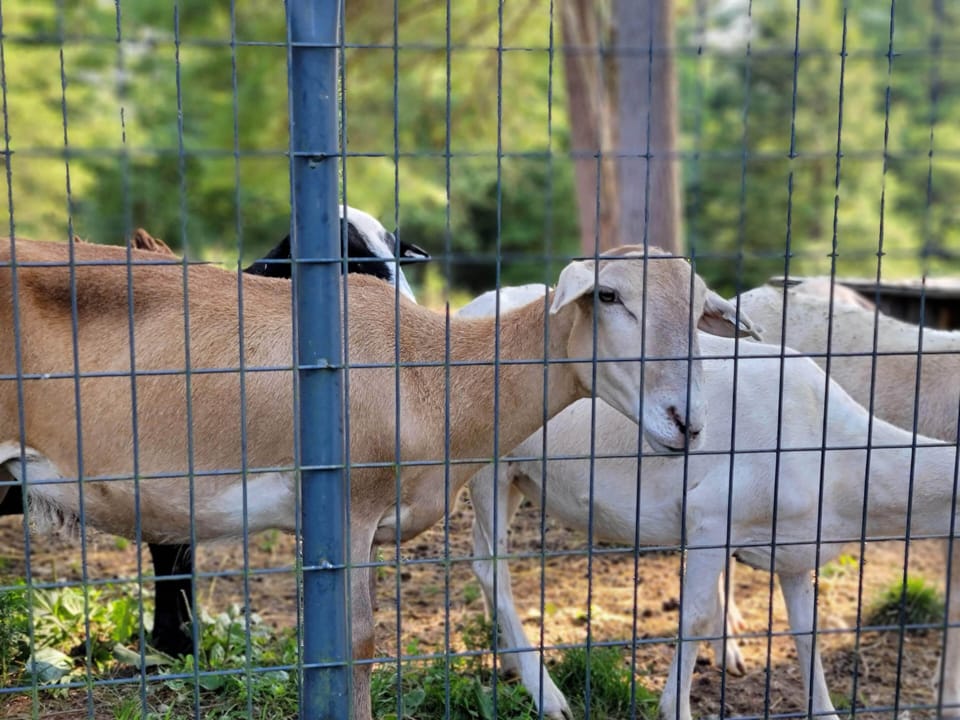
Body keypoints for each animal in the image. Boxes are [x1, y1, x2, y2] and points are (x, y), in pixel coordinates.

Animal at [3, 239, 750, 719]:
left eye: (700, 310)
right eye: (609, 294)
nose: (686, 421)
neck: (427, 375)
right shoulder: (350, 506)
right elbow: (357, 645)